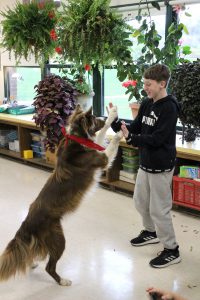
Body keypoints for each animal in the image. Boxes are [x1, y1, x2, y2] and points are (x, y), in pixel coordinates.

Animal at [0, 105, 122, 286]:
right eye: (93, 118)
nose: (102, 116)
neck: (78, 138)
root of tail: (26, 223)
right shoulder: (102, 158)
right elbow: (109, 145)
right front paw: (119, 132)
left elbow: (101, 137)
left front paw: (111, 115)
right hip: (58, 239)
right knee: (49, 267)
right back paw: (62, 281)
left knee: (31, 254)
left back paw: (32, 263)